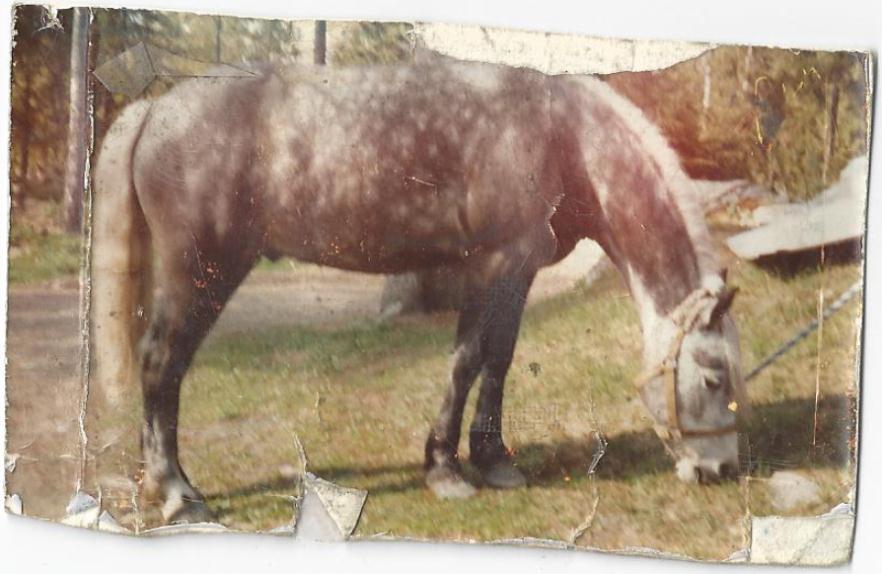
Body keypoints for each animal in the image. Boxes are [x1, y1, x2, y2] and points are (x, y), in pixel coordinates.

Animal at [94, 56, 744, 524]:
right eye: (713, 377)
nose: (720, 471)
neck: (567, 138)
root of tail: (156, 108)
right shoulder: (493, 265)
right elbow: (467, 361)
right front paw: (445, 469)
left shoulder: (517, 271)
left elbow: (498, 360)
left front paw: (492, 459)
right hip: (200, 274)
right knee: (161, 365)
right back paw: (178, 492)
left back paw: (156, 486)